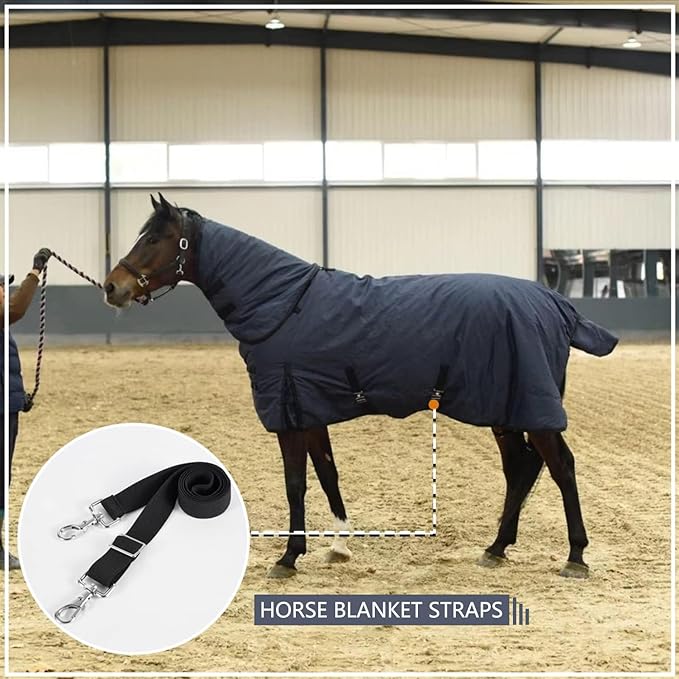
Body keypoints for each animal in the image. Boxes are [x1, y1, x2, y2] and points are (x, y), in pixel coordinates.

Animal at [103, 193, 618, 580]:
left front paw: (288, 557)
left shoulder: (289, 415)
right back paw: (495, 548)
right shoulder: (309, 410)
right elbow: (327, 475)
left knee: (561, 468)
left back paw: (575, 556)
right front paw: (338, 545)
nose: (112, 287)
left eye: (155, 238)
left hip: (531, 409)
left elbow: (295, 483)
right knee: (521, 469)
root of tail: (555, 303)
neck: (284, 304)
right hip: (505, 409)